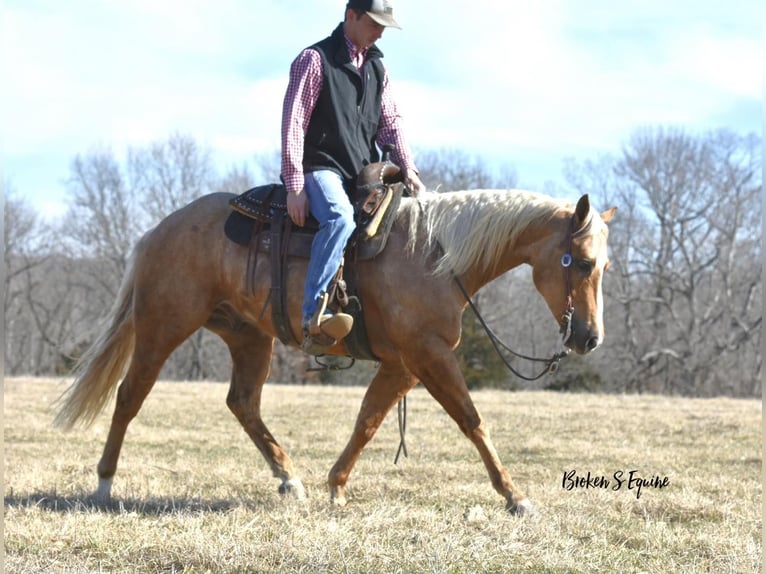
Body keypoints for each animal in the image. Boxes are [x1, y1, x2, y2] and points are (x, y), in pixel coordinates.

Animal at [55, 186, 616, 516]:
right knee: (129, 396)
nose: (590, 339)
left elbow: (367, 421)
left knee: (243, 403)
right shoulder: (429, 356)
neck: (434, 257)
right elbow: (473, 421)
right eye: (585, 263)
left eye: (604, 267)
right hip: (162, 326)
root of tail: (157, 230)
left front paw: (336, 485)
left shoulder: (403, 365)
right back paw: (103, 484)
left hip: (248, 336)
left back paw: (289, 479)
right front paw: (515, 496)